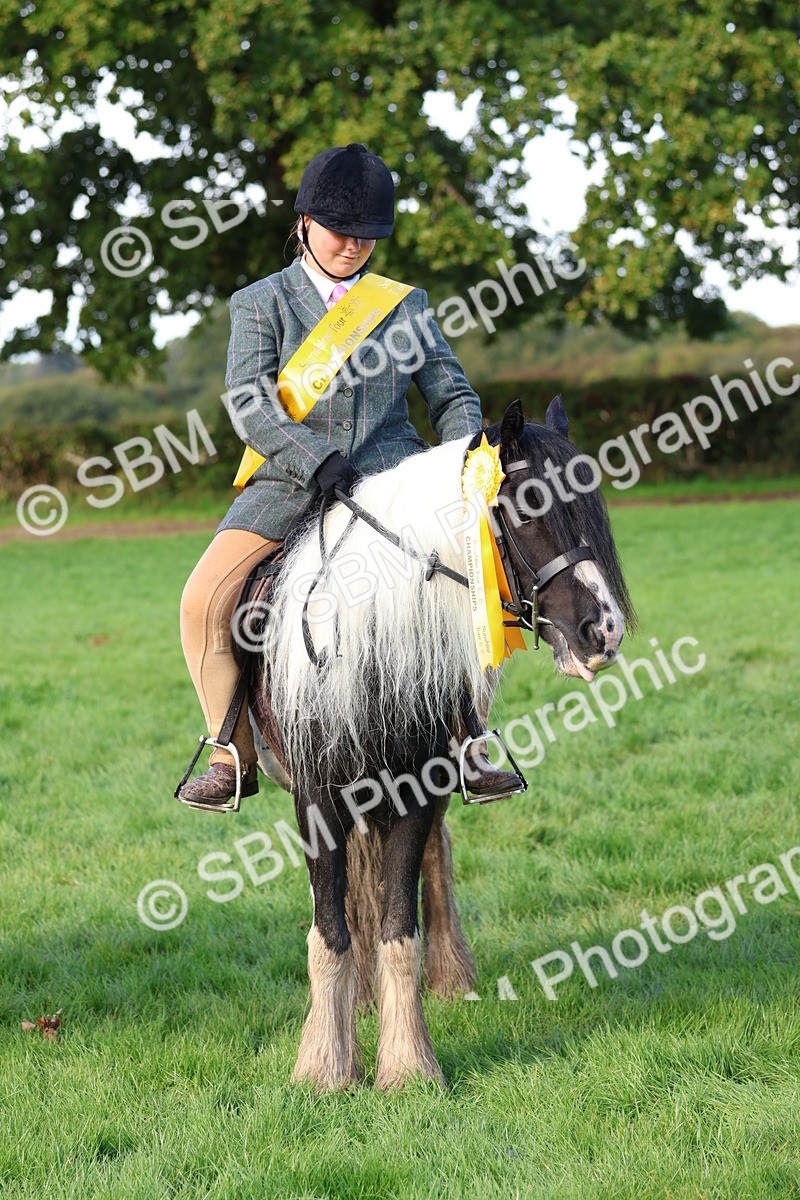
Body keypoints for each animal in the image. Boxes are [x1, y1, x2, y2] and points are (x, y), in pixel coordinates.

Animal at [246, 396, 634, 1090]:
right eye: (528, 504)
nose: (605, 630)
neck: (368, 632)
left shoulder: (416, 789)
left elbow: (400, 921)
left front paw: (407, 1067)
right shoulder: (316, 796)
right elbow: (330, 925)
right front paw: (324, 1066)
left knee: (433, 859)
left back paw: (449, 977)